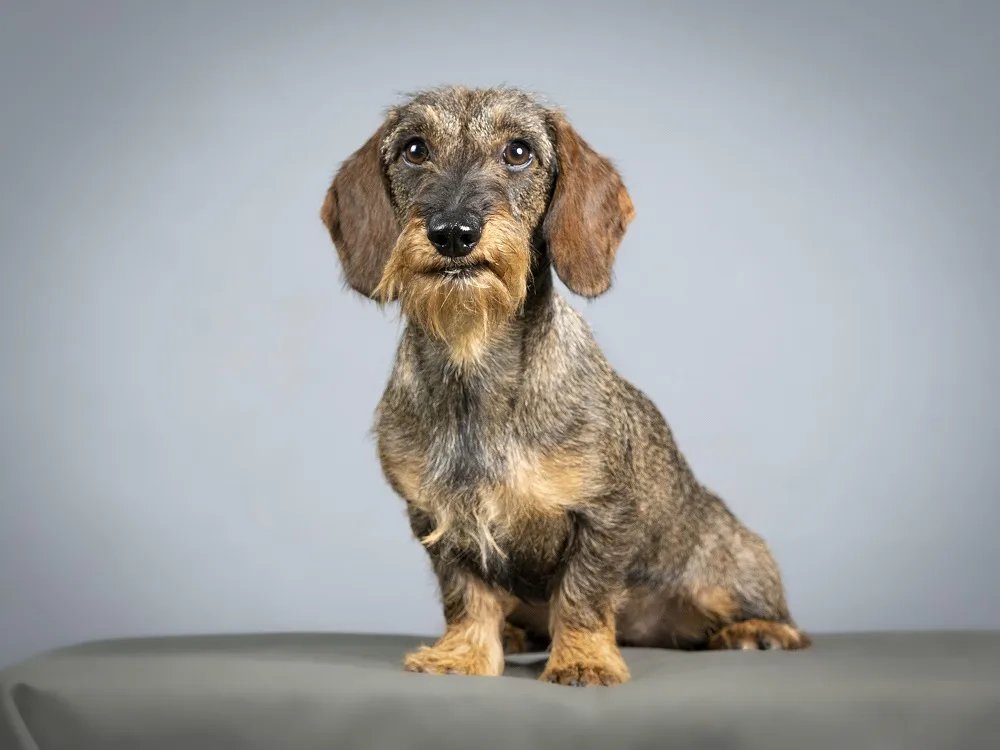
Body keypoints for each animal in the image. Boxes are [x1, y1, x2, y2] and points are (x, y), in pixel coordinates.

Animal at [320, 86, 812, 688]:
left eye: (519, 151)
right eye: (415, 149)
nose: (453, 232)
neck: (474, 361)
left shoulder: (604, 513)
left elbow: (583, 594)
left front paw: (583, 658)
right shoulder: (436, 517)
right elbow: (465, 595)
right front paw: (462, 654)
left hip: (727, 566)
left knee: (781, 619)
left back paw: (758, 632)